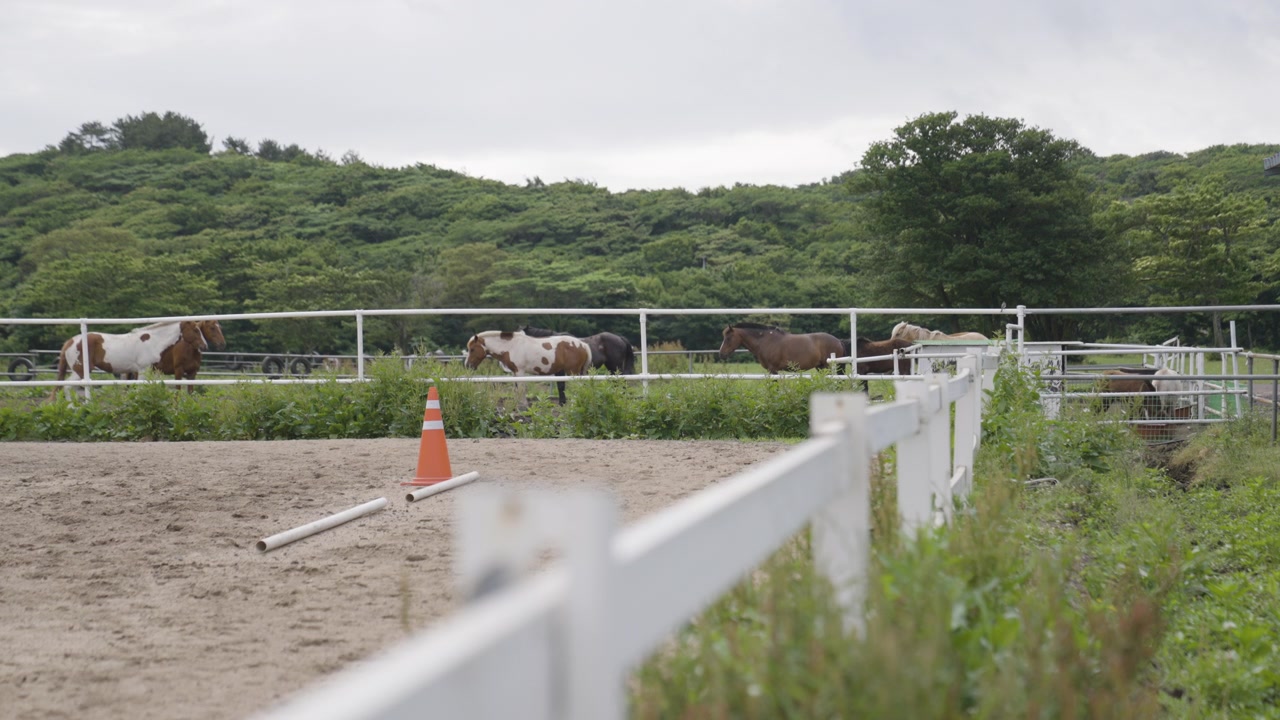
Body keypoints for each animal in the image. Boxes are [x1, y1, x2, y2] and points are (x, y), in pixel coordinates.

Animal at [51, 320, 222, 400]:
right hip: (79, 371)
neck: (153, 341)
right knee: (66, 386)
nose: (205, 345)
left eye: (200, 329)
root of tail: (70, 342)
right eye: (195, 330)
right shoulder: (143, 370)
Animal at [464, 330, 592, 406]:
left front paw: (523, 405)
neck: (511, 346)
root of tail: (583, 344)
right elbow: (517, 389)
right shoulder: (515, 372)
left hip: (573, 372)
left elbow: (521, 389)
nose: (467, 365)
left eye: (472, 349)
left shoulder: (520, 371)